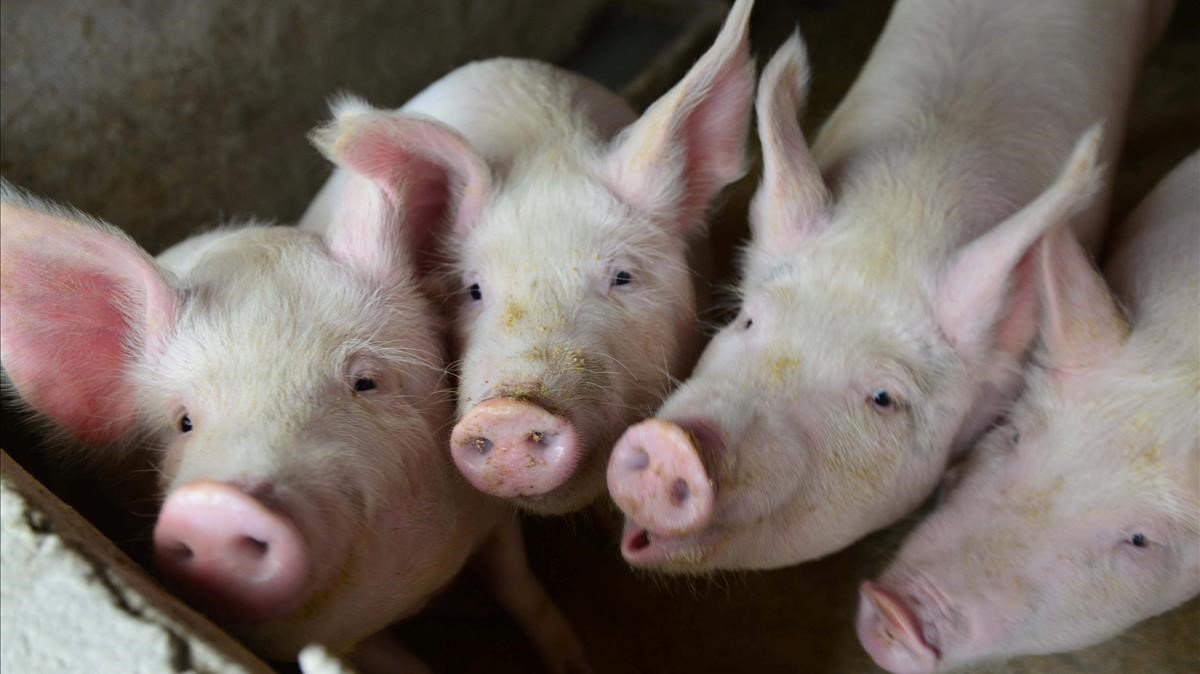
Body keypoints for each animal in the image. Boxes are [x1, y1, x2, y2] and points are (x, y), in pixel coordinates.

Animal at [0, 124, 585, 673]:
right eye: (183, 421)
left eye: (364, 382)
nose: (216, 505)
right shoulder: (314, 639)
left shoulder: (487, 508)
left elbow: (519, 587)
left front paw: (572, 660)